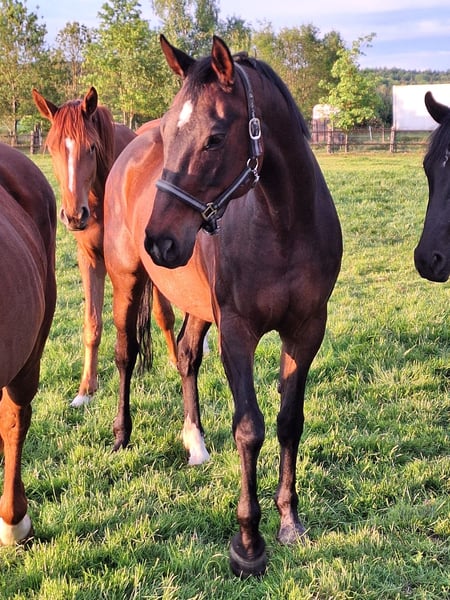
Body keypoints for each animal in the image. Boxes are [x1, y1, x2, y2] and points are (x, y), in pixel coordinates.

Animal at [32, 87, 177, 407]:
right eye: (52, 148)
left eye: (91, 148)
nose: (75, 216)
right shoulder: (90, 260)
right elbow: (93, 325)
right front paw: (86, 389)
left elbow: (163, 313)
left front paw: (177, 361)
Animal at [104, 35, 342, 576]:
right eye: (170, 131)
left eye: (214, 138)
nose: (160, 241)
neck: (282, 227)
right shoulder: (238, 332)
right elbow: (249, 429)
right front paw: (249, 544)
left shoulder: (306, 331)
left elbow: (289, 422)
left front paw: (289, 521)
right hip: (125, 281)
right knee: (126, 354)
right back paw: (122, 435)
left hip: (196, 305)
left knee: (186, 355)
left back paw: (195, 442)